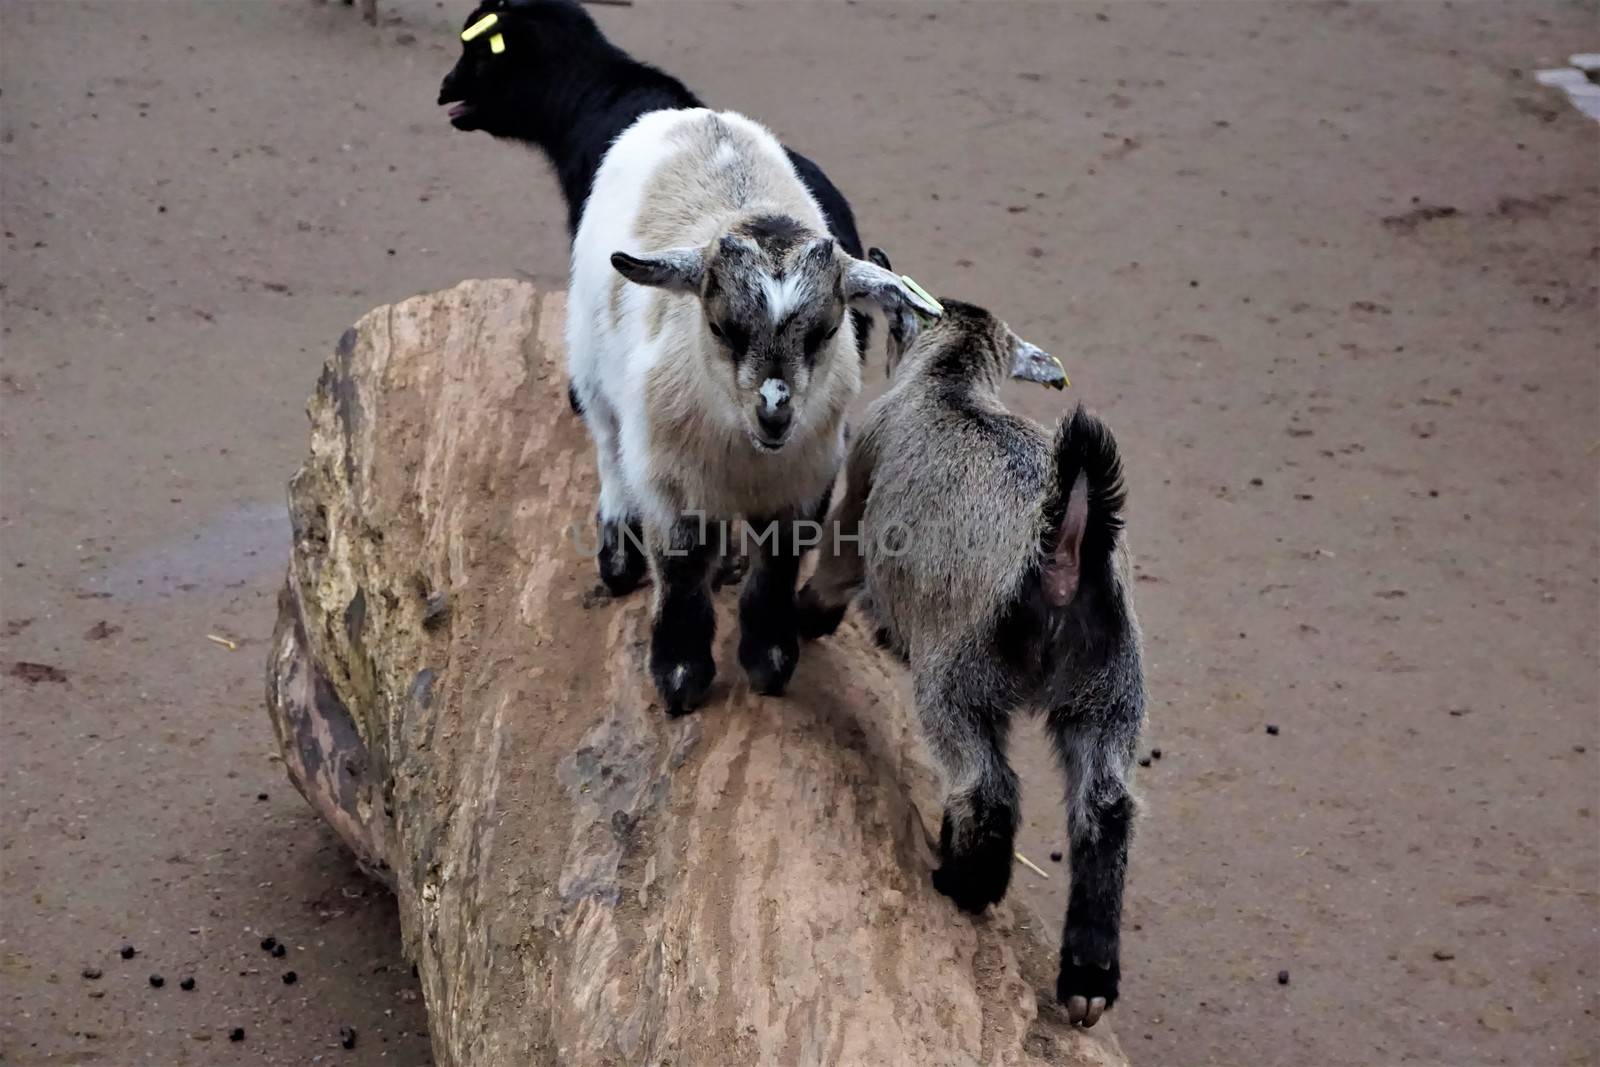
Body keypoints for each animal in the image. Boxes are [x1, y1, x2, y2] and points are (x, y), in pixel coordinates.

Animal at [793, 295, 1145, 1030]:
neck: (947, 382)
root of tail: (1065, 549)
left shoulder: (859, 486)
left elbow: (836, 564)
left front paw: (802, 620)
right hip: (1110, 691)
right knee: (1104, 809)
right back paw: (1089, 974)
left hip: (958, 678)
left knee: (986, 787)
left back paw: (966, 883)